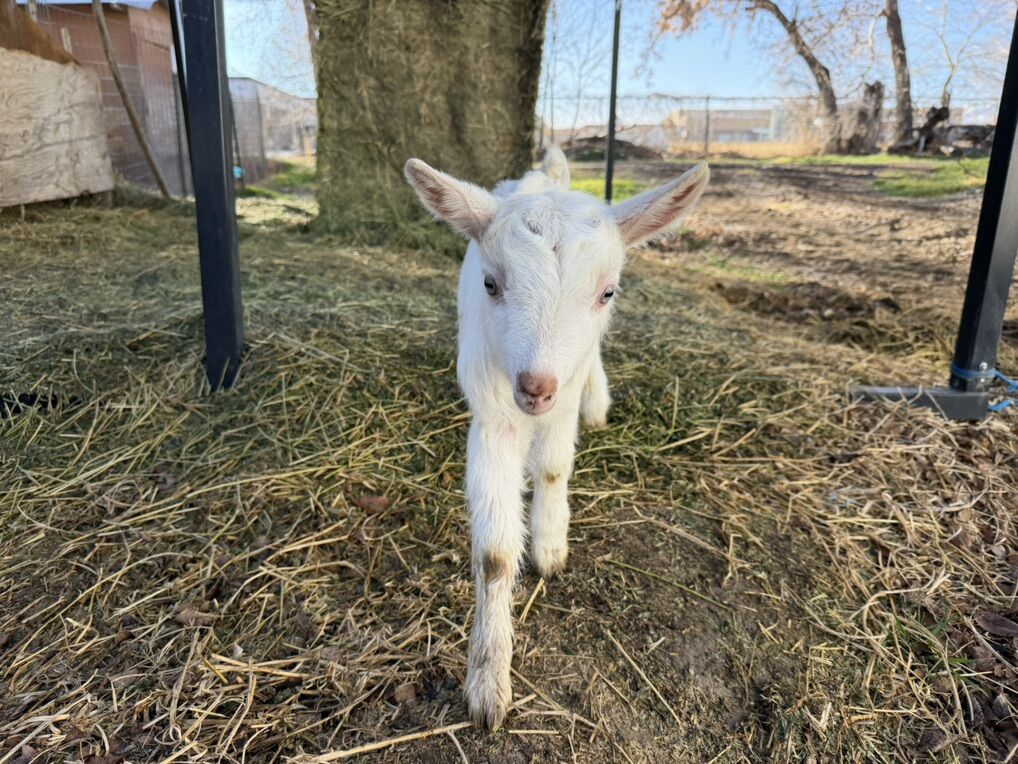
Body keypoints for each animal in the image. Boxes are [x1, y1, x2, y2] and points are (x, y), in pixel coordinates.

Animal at [404, 147, 709, 729]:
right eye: (491, 284)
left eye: (607, 291)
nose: (536, 388)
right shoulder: (492, 414)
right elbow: (495, 555)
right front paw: (488, 685)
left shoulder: (559, 404)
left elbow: (551, 467)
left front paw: (549, 547)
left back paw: (597, 403)